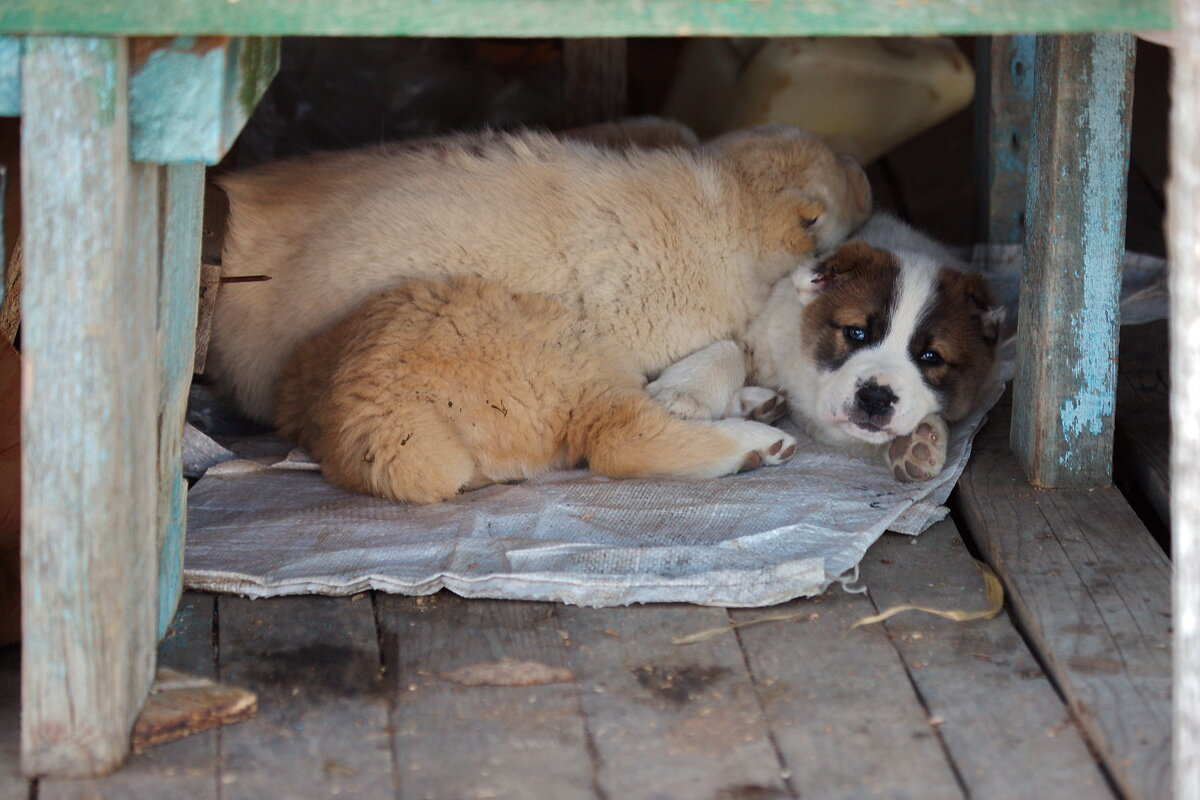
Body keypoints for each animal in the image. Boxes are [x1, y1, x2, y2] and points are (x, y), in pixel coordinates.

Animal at [648, 212, 1003, 482]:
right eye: (856, 332)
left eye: (931, 357)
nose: (876, 398)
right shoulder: (765, 330)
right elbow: (731, 347)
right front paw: (684, 392)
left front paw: (919, 441)